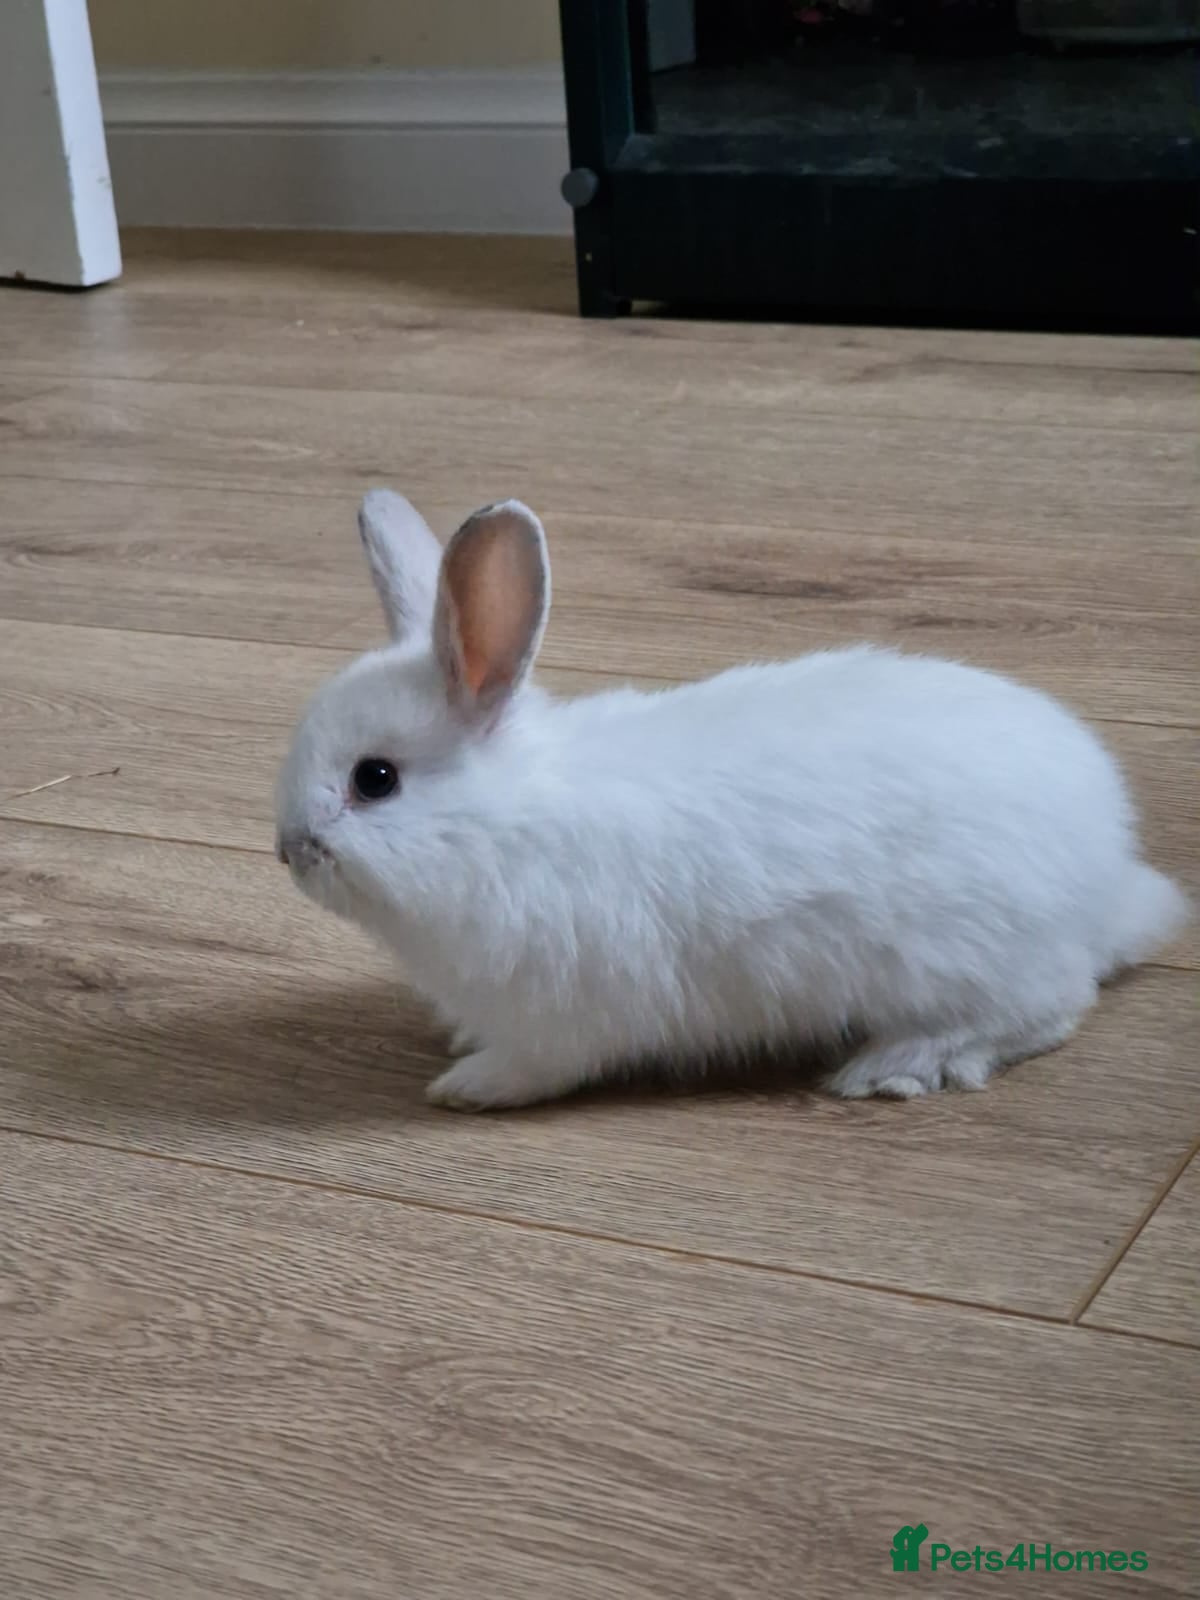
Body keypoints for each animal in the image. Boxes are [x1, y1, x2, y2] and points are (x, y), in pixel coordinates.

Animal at [275, 489, 1189, 1112]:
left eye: (375, 780)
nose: (289, 850)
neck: (503, 824)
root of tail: (1109, 878)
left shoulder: (565, 1012)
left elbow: (537, 1065)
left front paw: (466, 1084)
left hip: (967, 956)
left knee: (1051, 1007)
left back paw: (895, 1065)